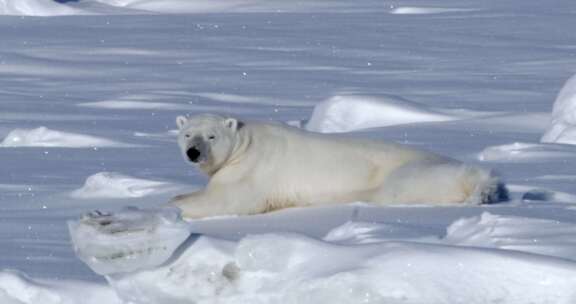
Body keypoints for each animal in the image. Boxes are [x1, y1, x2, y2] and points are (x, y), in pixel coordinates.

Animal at [169, 114, 506, 218]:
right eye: (187, 133)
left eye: (211, 135)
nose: (193, 152)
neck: (245, 141)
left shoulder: (251, 170)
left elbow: (228, 200)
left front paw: (175, 206)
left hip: (410, 174)